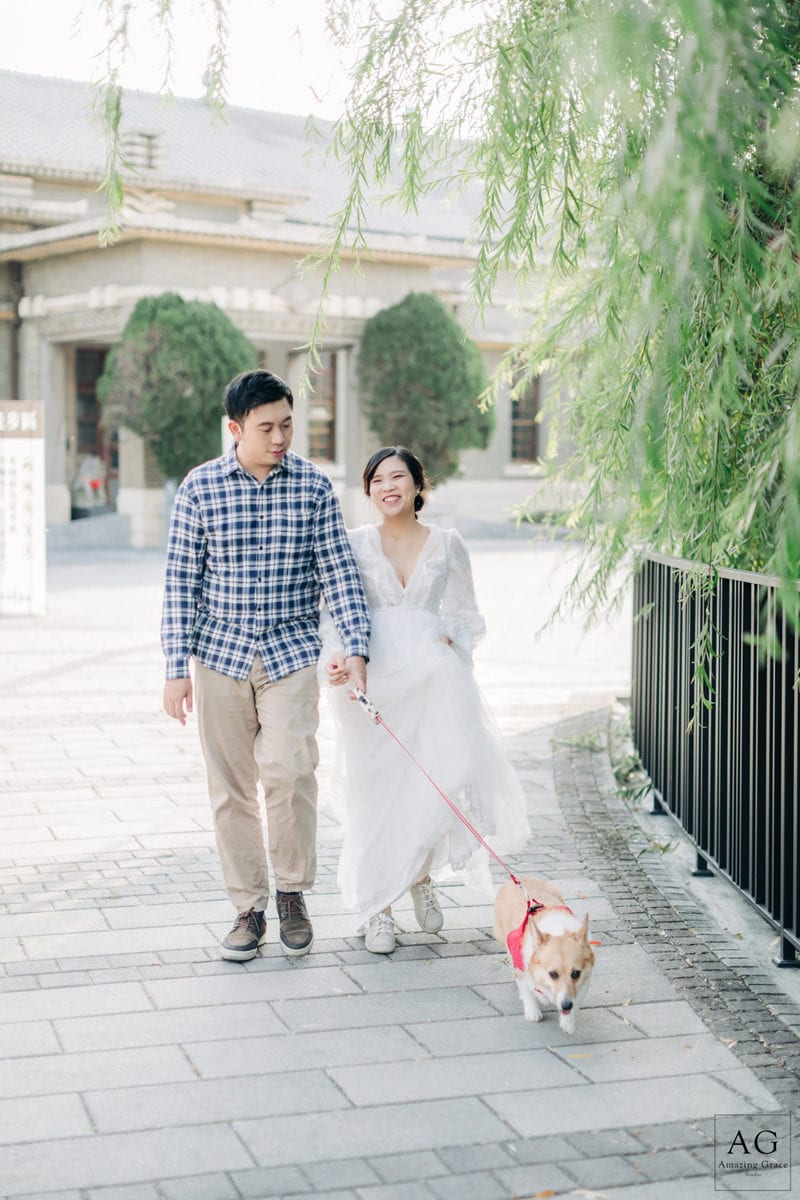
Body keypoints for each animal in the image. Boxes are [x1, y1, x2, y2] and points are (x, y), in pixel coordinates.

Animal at [493, 875, 595, 1034]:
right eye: (553, 974)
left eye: (576, 974)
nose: (566, 1006)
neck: (557, 932)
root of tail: (519, 878)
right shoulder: (520, 970)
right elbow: (527, 992)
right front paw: (533, 1012)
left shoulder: (584, 982)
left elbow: (576, 999)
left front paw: (568, 1022)